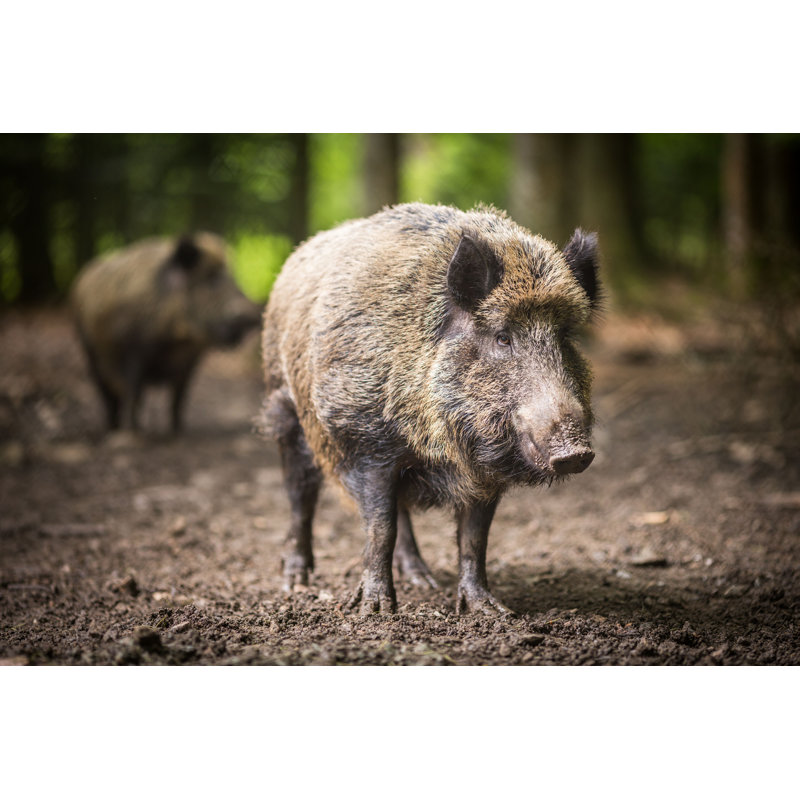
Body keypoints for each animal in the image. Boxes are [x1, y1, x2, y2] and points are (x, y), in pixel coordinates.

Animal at [71, 233, 261, 433]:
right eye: (211, 279)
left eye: (232, 278)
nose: (254, 314)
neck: (177, 339)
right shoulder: (133, 350)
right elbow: (135, 393)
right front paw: (133, 431)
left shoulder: (190, 362)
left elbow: (179, 398)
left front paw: (178, 431)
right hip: (88, 348)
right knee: (106, 393)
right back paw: (112, 428)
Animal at [261, 203, 600, 615]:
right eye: (502, 337)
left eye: (564, 337)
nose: (576, 452)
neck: (438, 449)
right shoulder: (366, 442)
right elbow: (380, 527)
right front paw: (375, 610)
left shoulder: (481, 472)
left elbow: (474, 538)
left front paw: (491, 611)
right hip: (285, 410)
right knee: (300, 496)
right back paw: (295, 581)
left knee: (402, 511)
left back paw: (422, 578)